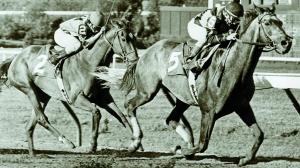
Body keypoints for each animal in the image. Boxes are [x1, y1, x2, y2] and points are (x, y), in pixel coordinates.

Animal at [2, 19, 138, 155]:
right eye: (123, 38)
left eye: (134, 37)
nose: (135, 60)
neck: (89, 63)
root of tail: (16, 57)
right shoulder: (76, 99)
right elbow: (96, 112)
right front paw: (92, 146)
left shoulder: (103, 98)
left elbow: (122, 117)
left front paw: (136, 143)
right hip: (29, 89)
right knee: (41, 118)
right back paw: (67, 142)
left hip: (43, 94)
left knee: (31, 124)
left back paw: (33, 153)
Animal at [120, 4, 292, 166]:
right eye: (268, 22)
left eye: (281, 22)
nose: (286, 42)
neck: (233, 68)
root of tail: (148, 51)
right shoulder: (208, 111)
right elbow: (203, 144)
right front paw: (182, 151)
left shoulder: (242, 106)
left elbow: (259, 135)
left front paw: (245, 159)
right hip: (147, 91)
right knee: (130, 105)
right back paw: (135, 143)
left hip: (182, 99)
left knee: (171, 119)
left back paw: (186, 141)